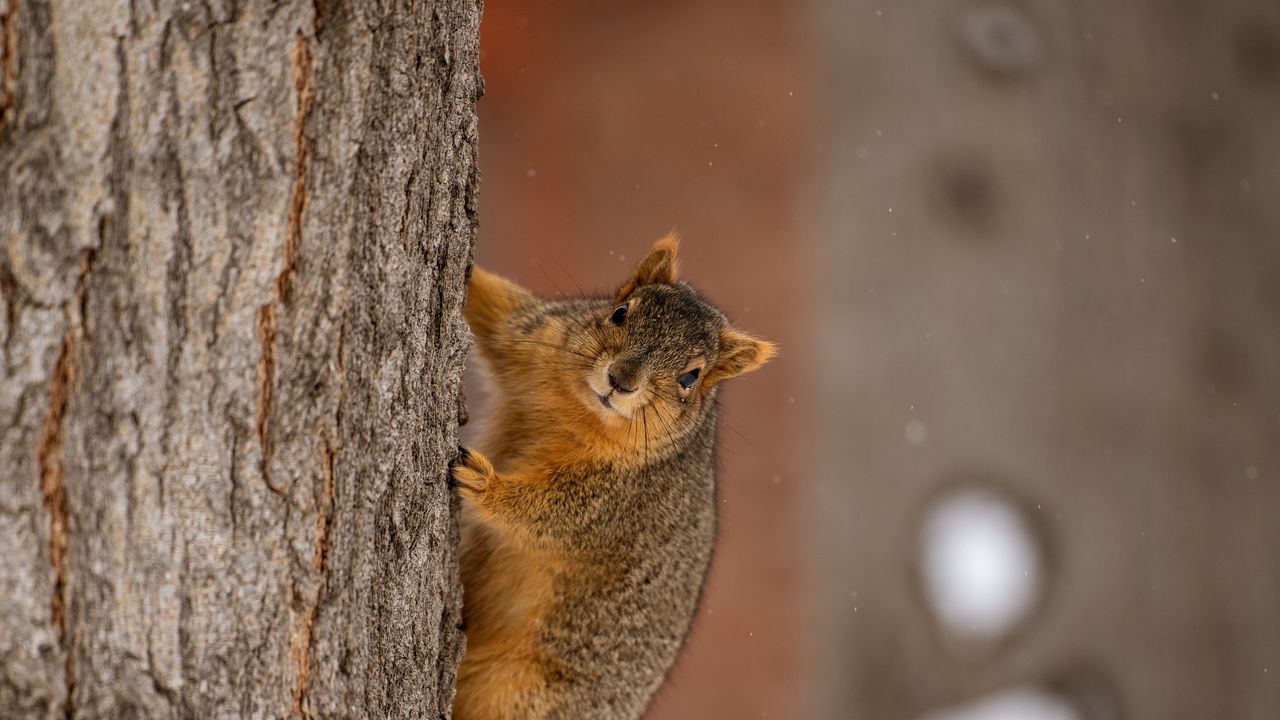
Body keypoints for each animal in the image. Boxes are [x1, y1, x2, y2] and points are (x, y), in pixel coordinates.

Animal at [450, 235, 775, 720]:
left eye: (691, 377)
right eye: (620, 312)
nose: (621, 379)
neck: (581, 410)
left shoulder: (616, 503)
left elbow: (548, 517)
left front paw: (482, 481)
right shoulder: (535, 337)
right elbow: (494, 311)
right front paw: (469, 275)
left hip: (528, 698)